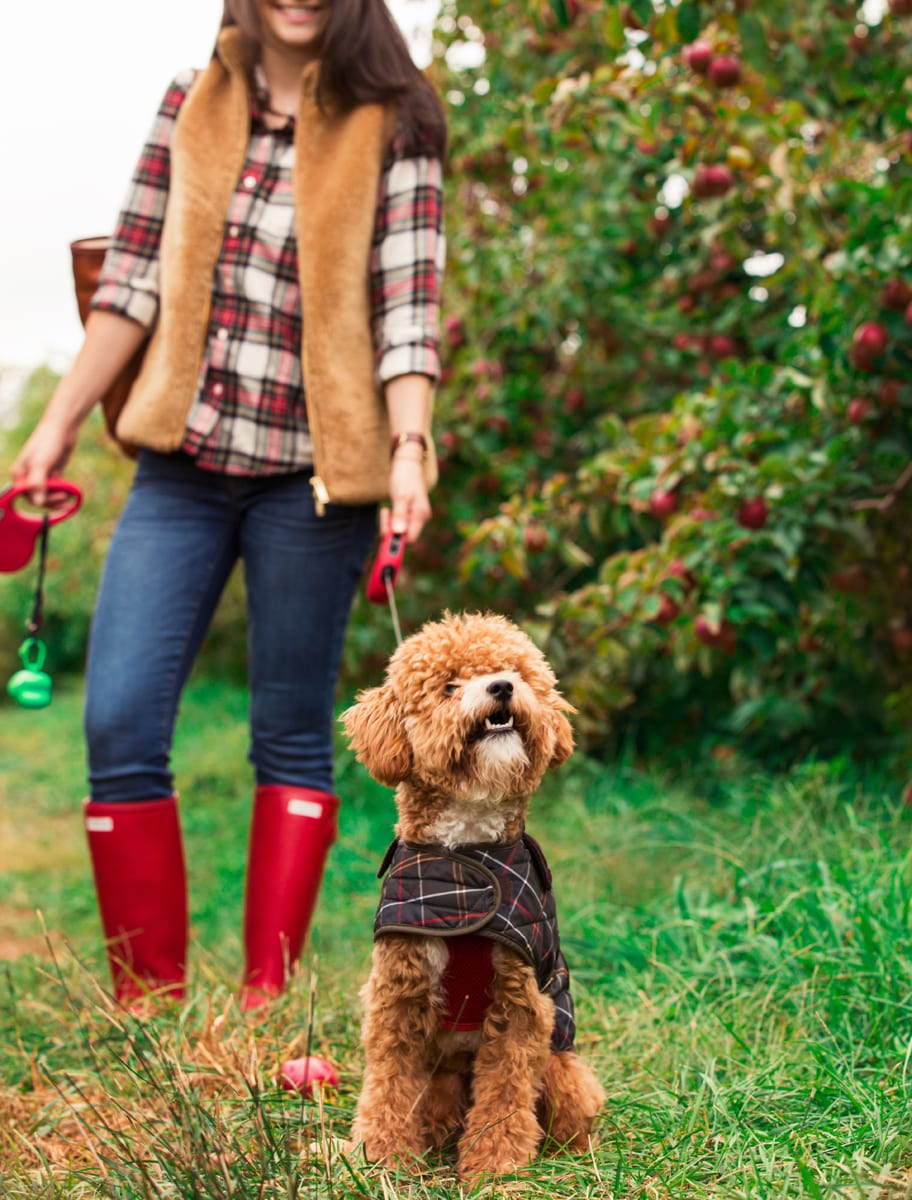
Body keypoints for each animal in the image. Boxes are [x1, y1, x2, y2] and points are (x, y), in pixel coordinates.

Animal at [340, 614, 604, 1176]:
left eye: (517, 673)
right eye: (448, 686)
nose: (501, 687)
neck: (468, 859)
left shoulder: (521, 1002)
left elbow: (505, 1094)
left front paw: (495, 1166)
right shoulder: (398, 995)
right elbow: (388, 1085)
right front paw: (381, 1157)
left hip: (563, 1069)